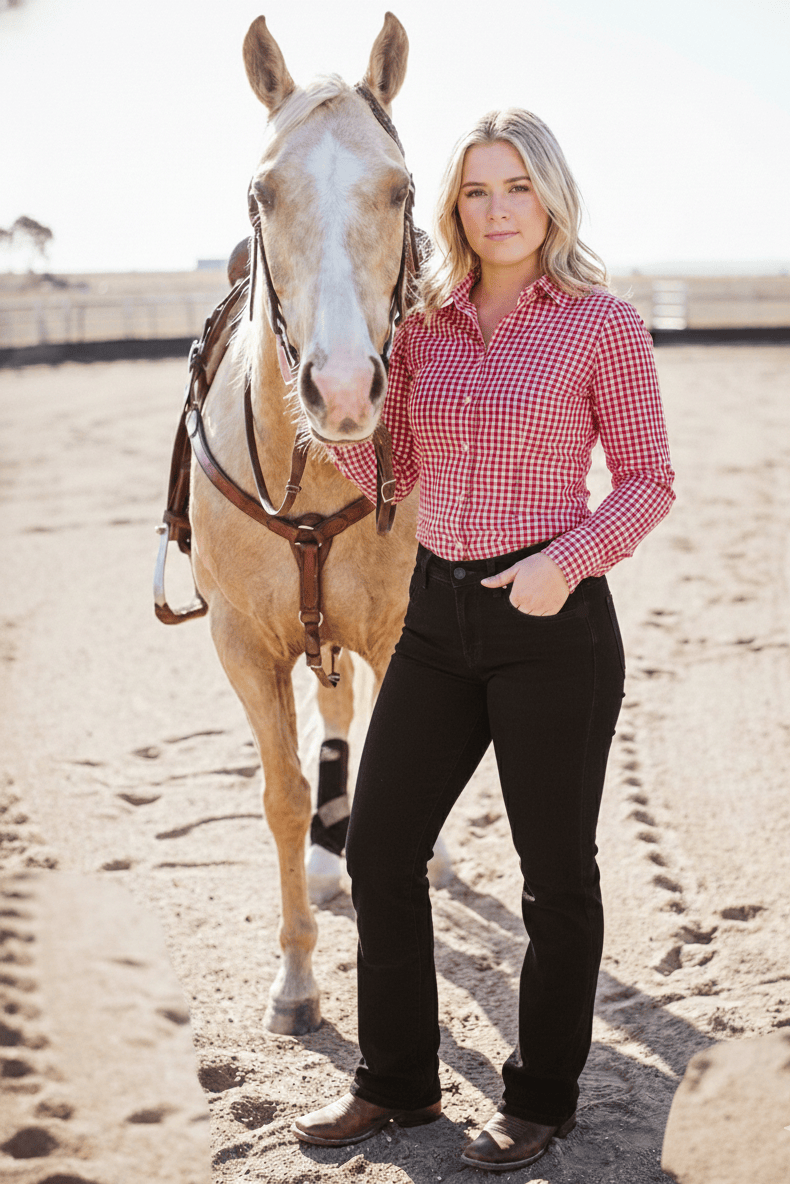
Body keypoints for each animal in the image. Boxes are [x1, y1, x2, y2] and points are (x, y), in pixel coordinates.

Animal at [164, 13, 452, 1036]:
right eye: (264, 190)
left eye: (400, 188)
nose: (342, 388)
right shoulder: (243, 643)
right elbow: (285, 797)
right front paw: (296, 977)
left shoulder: (406, 631)